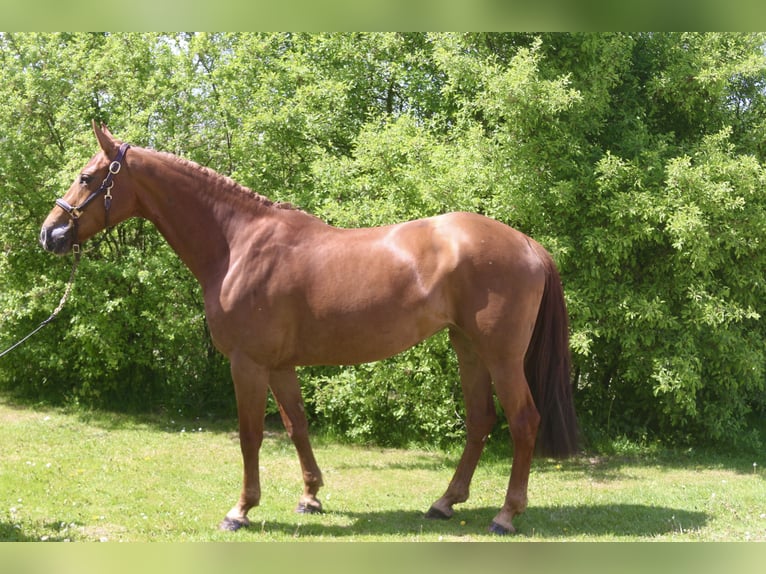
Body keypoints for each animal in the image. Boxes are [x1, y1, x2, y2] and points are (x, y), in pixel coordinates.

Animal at [37, 124, 576, 536]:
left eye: (86, 177)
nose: (50, 234)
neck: (238, 244)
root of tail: (529, 244)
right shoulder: (279, 366)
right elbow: (296, 425)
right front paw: (311, 497)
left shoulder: (248, 363)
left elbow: (250, 433)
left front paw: (241, 510)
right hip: (468, 348)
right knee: (481, 420)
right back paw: (444, 503)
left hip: (502, 356)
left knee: (523, 421)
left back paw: (506, 515)